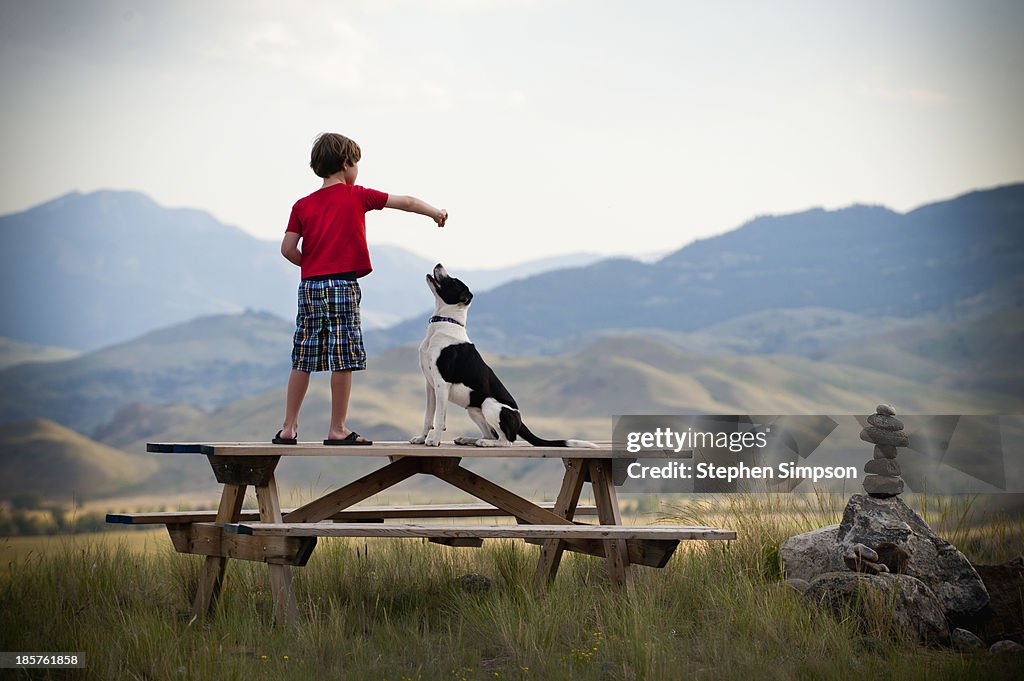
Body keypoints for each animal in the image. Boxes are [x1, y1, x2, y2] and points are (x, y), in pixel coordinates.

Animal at [409, 262, 598, 448]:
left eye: (453, 281)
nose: (438, 264)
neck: (445, 323)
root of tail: (519, 420)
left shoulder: (442, 383)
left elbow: (439, 418)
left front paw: (434, 440)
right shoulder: (431, 385)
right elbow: (428, 417)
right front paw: (421, 438)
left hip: (489, 405)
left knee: (506, 440)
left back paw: (485, 443)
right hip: (473, 409)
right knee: (490, 434)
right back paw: (470, 440)